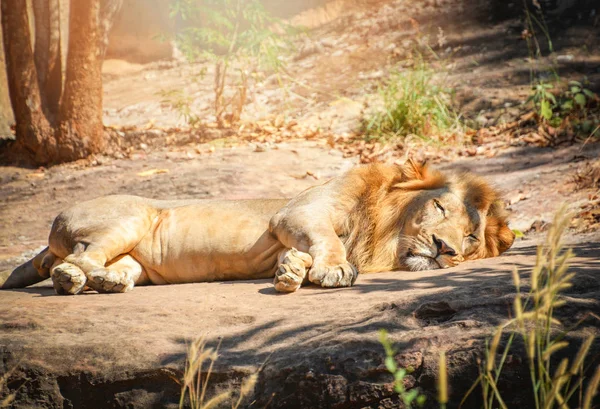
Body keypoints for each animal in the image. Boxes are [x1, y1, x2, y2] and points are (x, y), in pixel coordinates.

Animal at [0, 159, 516, 294]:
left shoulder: (293, 229)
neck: (382, 235)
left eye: (472, 237)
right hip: (130, 216)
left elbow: (301, 252)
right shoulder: (298, 212)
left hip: (137, 260)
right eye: (439, 208)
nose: (445, 248)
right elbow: (329, 241)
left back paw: (99, 281)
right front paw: (332, 270)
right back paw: (81, 278)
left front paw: (292, 271)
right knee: (78, 258)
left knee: (99, 265)